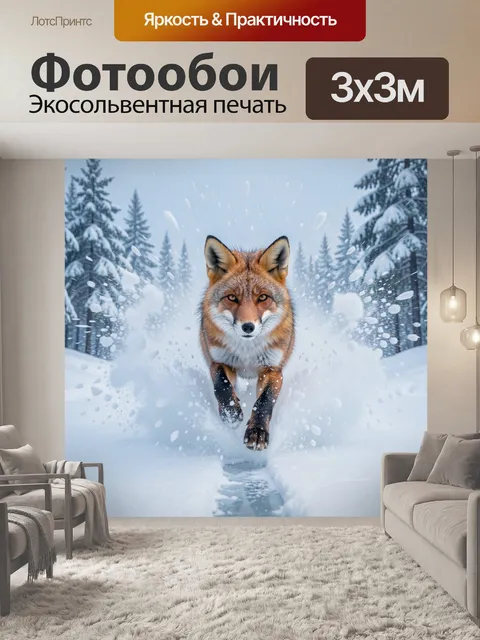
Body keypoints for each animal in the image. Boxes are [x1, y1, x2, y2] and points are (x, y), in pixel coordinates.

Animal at [199, 235, 295, 451]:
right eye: (232, 297)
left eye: (263, 297)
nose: (248, 327)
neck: (247, 352)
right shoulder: (219, 361)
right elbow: (222, 386)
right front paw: (231, 412)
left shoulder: (273, 369)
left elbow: (264, 402)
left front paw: (257, 432)